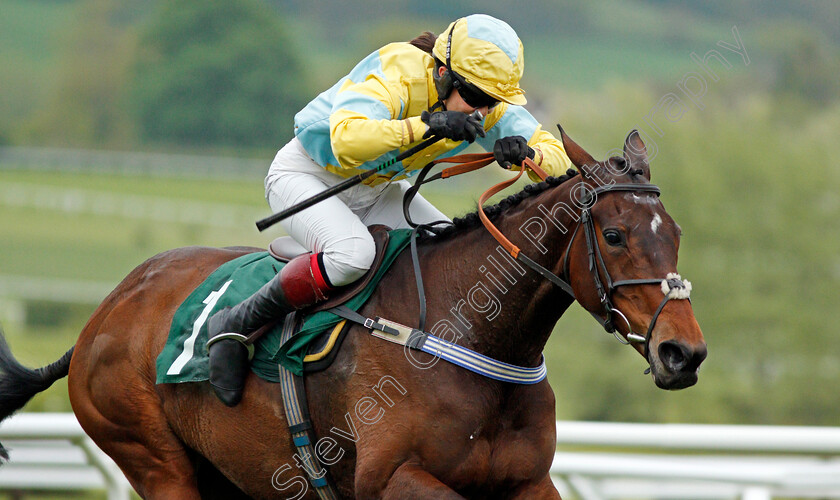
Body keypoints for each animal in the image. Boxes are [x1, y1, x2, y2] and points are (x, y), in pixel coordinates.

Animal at [0, 128, 704, 496]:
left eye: (674, 233)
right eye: (613, 235)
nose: (683, 352)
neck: (474, 337)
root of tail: (104, 316)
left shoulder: (529, 482)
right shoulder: (392, 480)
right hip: (155, 460)